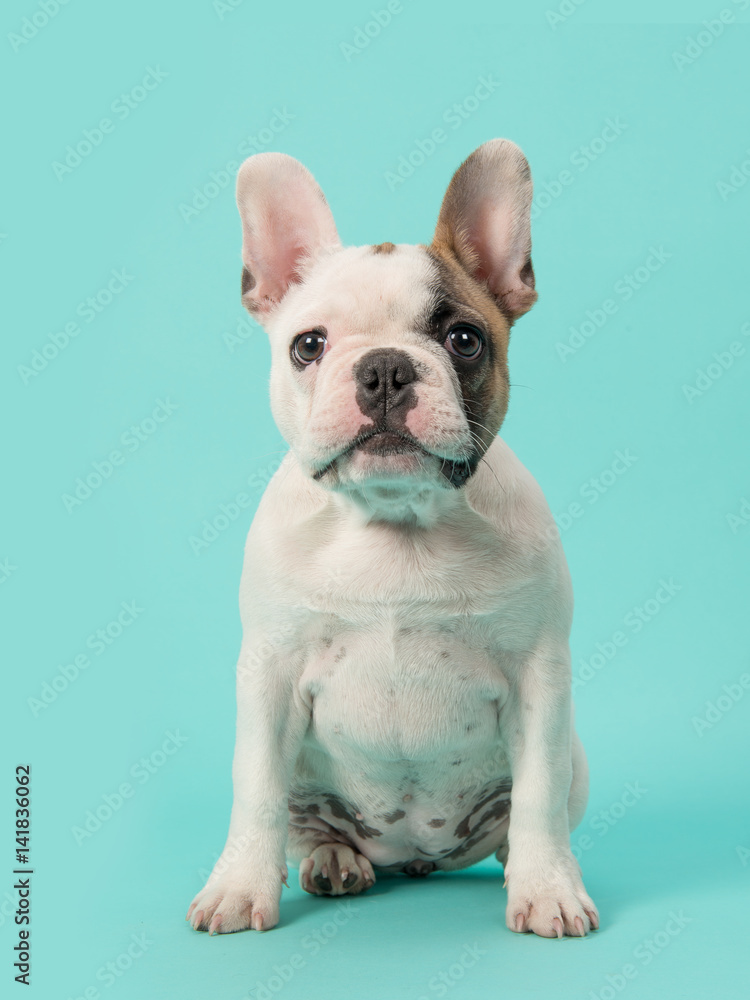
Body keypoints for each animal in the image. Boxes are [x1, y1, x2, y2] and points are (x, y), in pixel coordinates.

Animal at [187, 139, 600, 936]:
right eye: (307, 346)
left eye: (464, 340)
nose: (383, 367)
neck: (395, 522)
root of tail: (413, 856)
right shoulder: (270, 675)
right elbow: (255, 791)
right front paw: (239, 886)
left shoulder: (539, 678)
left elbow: (537, 795)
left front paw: (548, 889)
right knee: (308, 824)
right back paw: (335, 860)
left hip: (576, 764)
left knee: (531, 813)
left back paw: (523, 865)